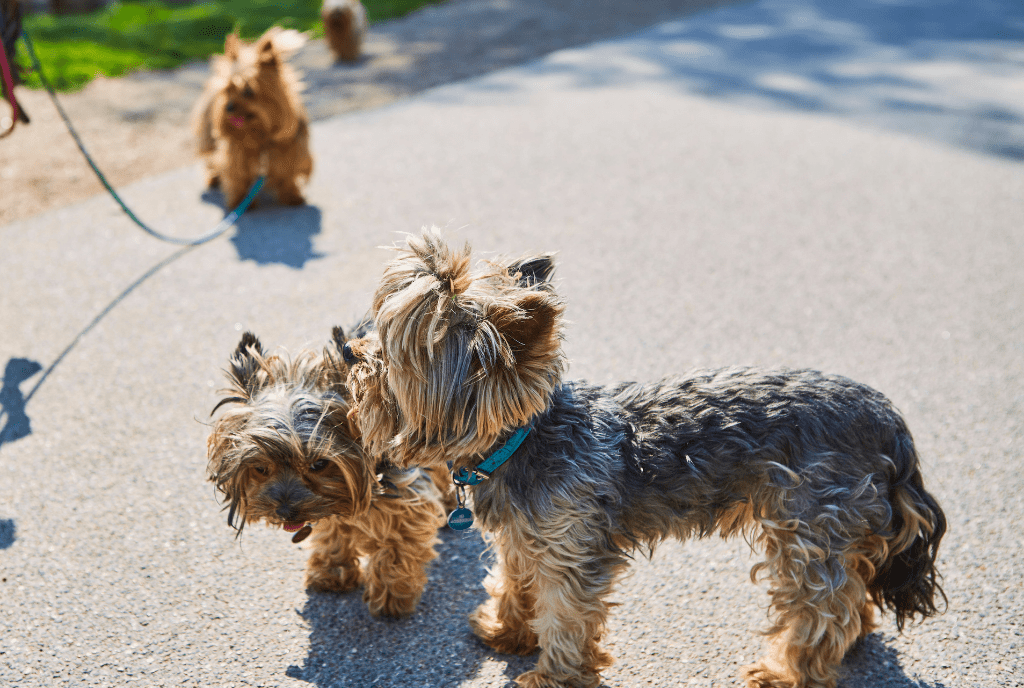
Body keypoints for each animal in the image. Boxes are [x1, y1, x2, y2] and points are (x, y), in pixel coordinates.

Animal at [192, 27, 311, 209]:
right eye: (228, 89)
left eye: (248, 91)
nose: (228, 108)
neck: (260, 134)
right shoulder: (235, 155)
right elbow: (237, 177)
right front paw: (242, 202)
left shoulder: (291, 150)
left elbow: (287, 174)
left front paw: (291, 196)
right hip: (209, 138)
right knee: (211, 159)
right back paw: (213, 178)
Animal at [206, 323, 448, 618]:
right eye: (261, 468)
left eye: (319, 464)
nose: (284, 512)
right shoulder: (331, 498)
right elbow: (334, 528)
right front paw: (332, 573)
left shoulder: (406, 491)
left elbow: (398, 543)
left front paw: (392, 596)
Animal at [342, 229, 942, 688]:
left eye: (395, 353)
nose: (352, 353)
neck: (523, 439)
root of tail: (888, 418)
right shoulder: (525, 537)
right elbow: (516, 581)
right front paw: (507, 631)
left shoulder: (570, 549)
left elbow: (564, 618)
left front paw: (551, 677)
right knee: (852, 585)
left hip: (807, 525)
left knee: (822, 605)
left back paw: (787, 672)